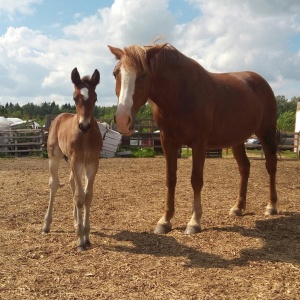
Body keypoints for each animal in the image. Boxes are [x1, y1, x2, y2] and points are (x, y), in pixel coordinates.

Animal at [42, 68, 102, 251]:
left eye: (95, 98)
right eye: (75, 98)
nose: (84, 126)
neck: (85, 137)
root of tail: (59, 117)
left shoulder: (92, 162)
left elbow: (87, 196)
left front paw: (86, 235)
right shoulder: (76, 161)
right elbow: (79, 197)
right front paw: (80, 240)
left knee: (72, 183)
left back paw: (76, 222)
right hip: (54, 157)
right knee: (54, 184)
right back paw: (46, 225)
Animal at [108, 42, 278, 234]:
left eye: (144, 74)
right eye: (115, 73)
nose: (123, 120)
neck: (180, 94)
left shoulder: (199, 143)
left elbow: (196, 180)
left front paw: (194, 222)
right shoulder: (168, 142)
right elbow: (170, 179)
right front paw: (165, 221)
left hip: (266, 132)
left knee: (271, 165)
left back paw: (271, 206)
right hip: (237, 140)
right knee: (244, 168)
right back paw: (238, 207)